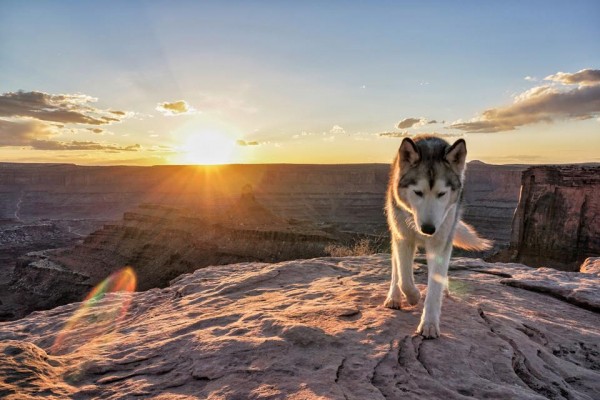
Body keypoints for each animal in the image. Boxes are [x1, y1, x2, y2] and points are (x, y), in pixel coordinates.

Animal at [386, 136, 490, 340]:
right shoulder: (404, 238)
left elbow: (434, 286)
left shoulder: (440, 242)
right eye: (418, 192)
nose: (428, 229)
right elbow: (404, 278)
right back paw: (394, 296)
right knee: (396, 270)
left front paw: (429, 324)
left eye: (441, 194)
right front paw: (413, 296)